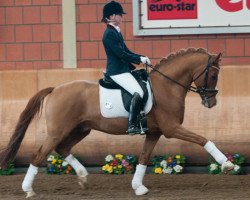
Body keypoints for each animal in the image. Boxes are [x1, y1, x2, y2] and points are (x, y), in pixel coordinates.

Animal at [0, 48, 234, 197]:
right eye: (213, 75)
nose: (211, 102)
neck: (167, 86)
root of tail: (55, 89)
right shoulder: (171, 128)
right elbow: (203, 139)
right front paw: (227, 164)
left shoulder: (154, 132)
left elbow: (143, 158)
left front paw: (138, 187)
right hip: (58, 130)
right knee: (39, 154)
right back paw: (28, 189)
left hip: (80, 129)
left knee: (62, 148)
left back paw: (83, 177)